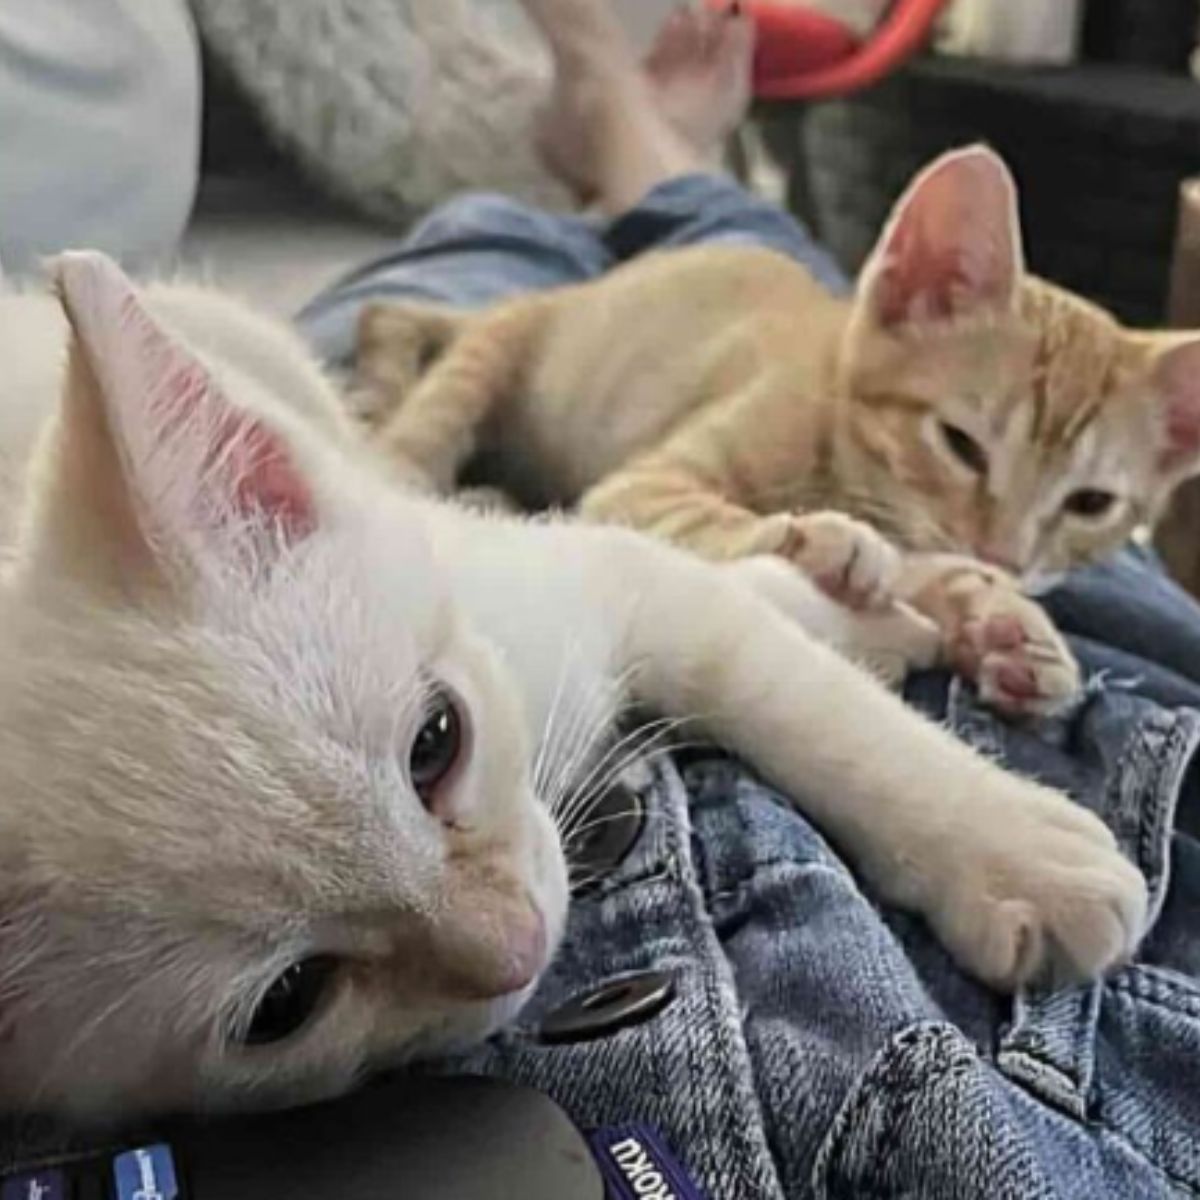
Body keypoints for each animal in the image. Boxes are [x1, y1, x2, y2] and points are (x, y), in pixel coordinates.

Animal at [0, 248, 1142, 1118]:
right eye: (287, 1002)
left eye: (436, 743)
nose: (519, 944)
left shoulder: (581, 575)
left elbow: (797, 693)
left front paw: (1014, 848)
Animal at [357, 145, 1200, 715]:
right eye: (960, 444)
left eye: (1091, 505)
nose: (1005, 557)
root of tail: (562, 293)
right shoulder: (641, 485)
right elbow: (709, 516)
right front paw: (824, 539)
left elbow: (928, 571)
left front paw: (999, 619)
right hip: (496, 353)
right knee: (429, 402)